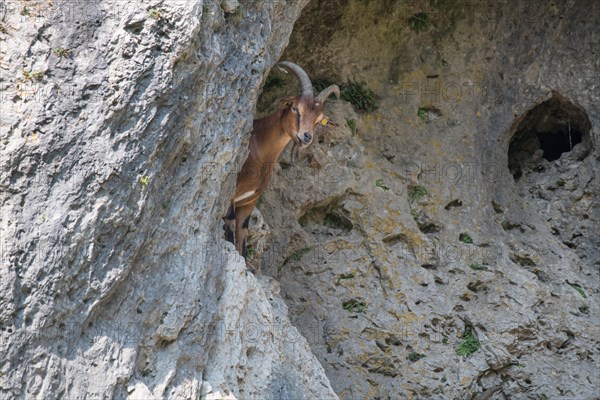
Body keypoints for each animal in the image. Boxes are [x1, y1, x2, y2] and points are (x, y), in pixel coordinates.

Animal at [224, 61, 340, 258]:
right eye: (295, 108)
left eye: (318, 120)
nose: (306, 136)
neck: (258, 150)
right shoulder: (231, 197)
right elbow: (230, 231)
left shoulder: (248, 201)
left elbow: (242, 235)